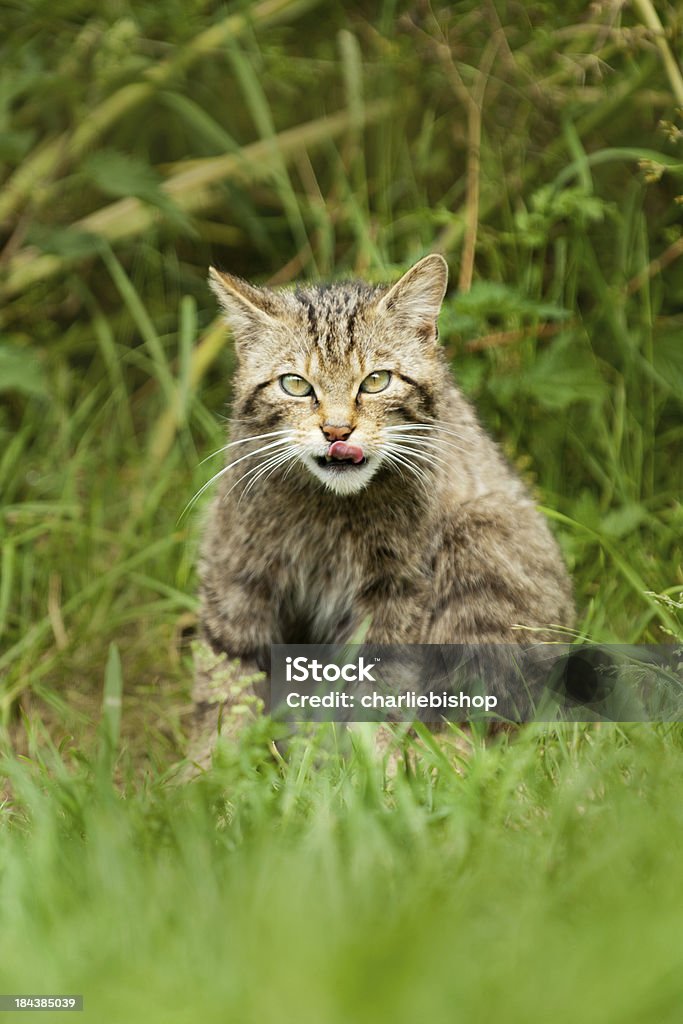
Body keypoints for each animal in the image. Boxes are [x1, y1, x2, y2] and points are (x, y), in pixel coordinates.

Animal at [189, 254, 573, 765]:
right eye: (295, 385)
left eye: (375, 381)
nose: (337, 431)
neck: (327, 508)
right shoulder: (236, 572)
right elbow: (225, 686)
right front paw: (212, 771)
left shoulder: (397, 592)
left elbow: (379, 688)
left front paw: (380, 771)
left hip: (484, 539)